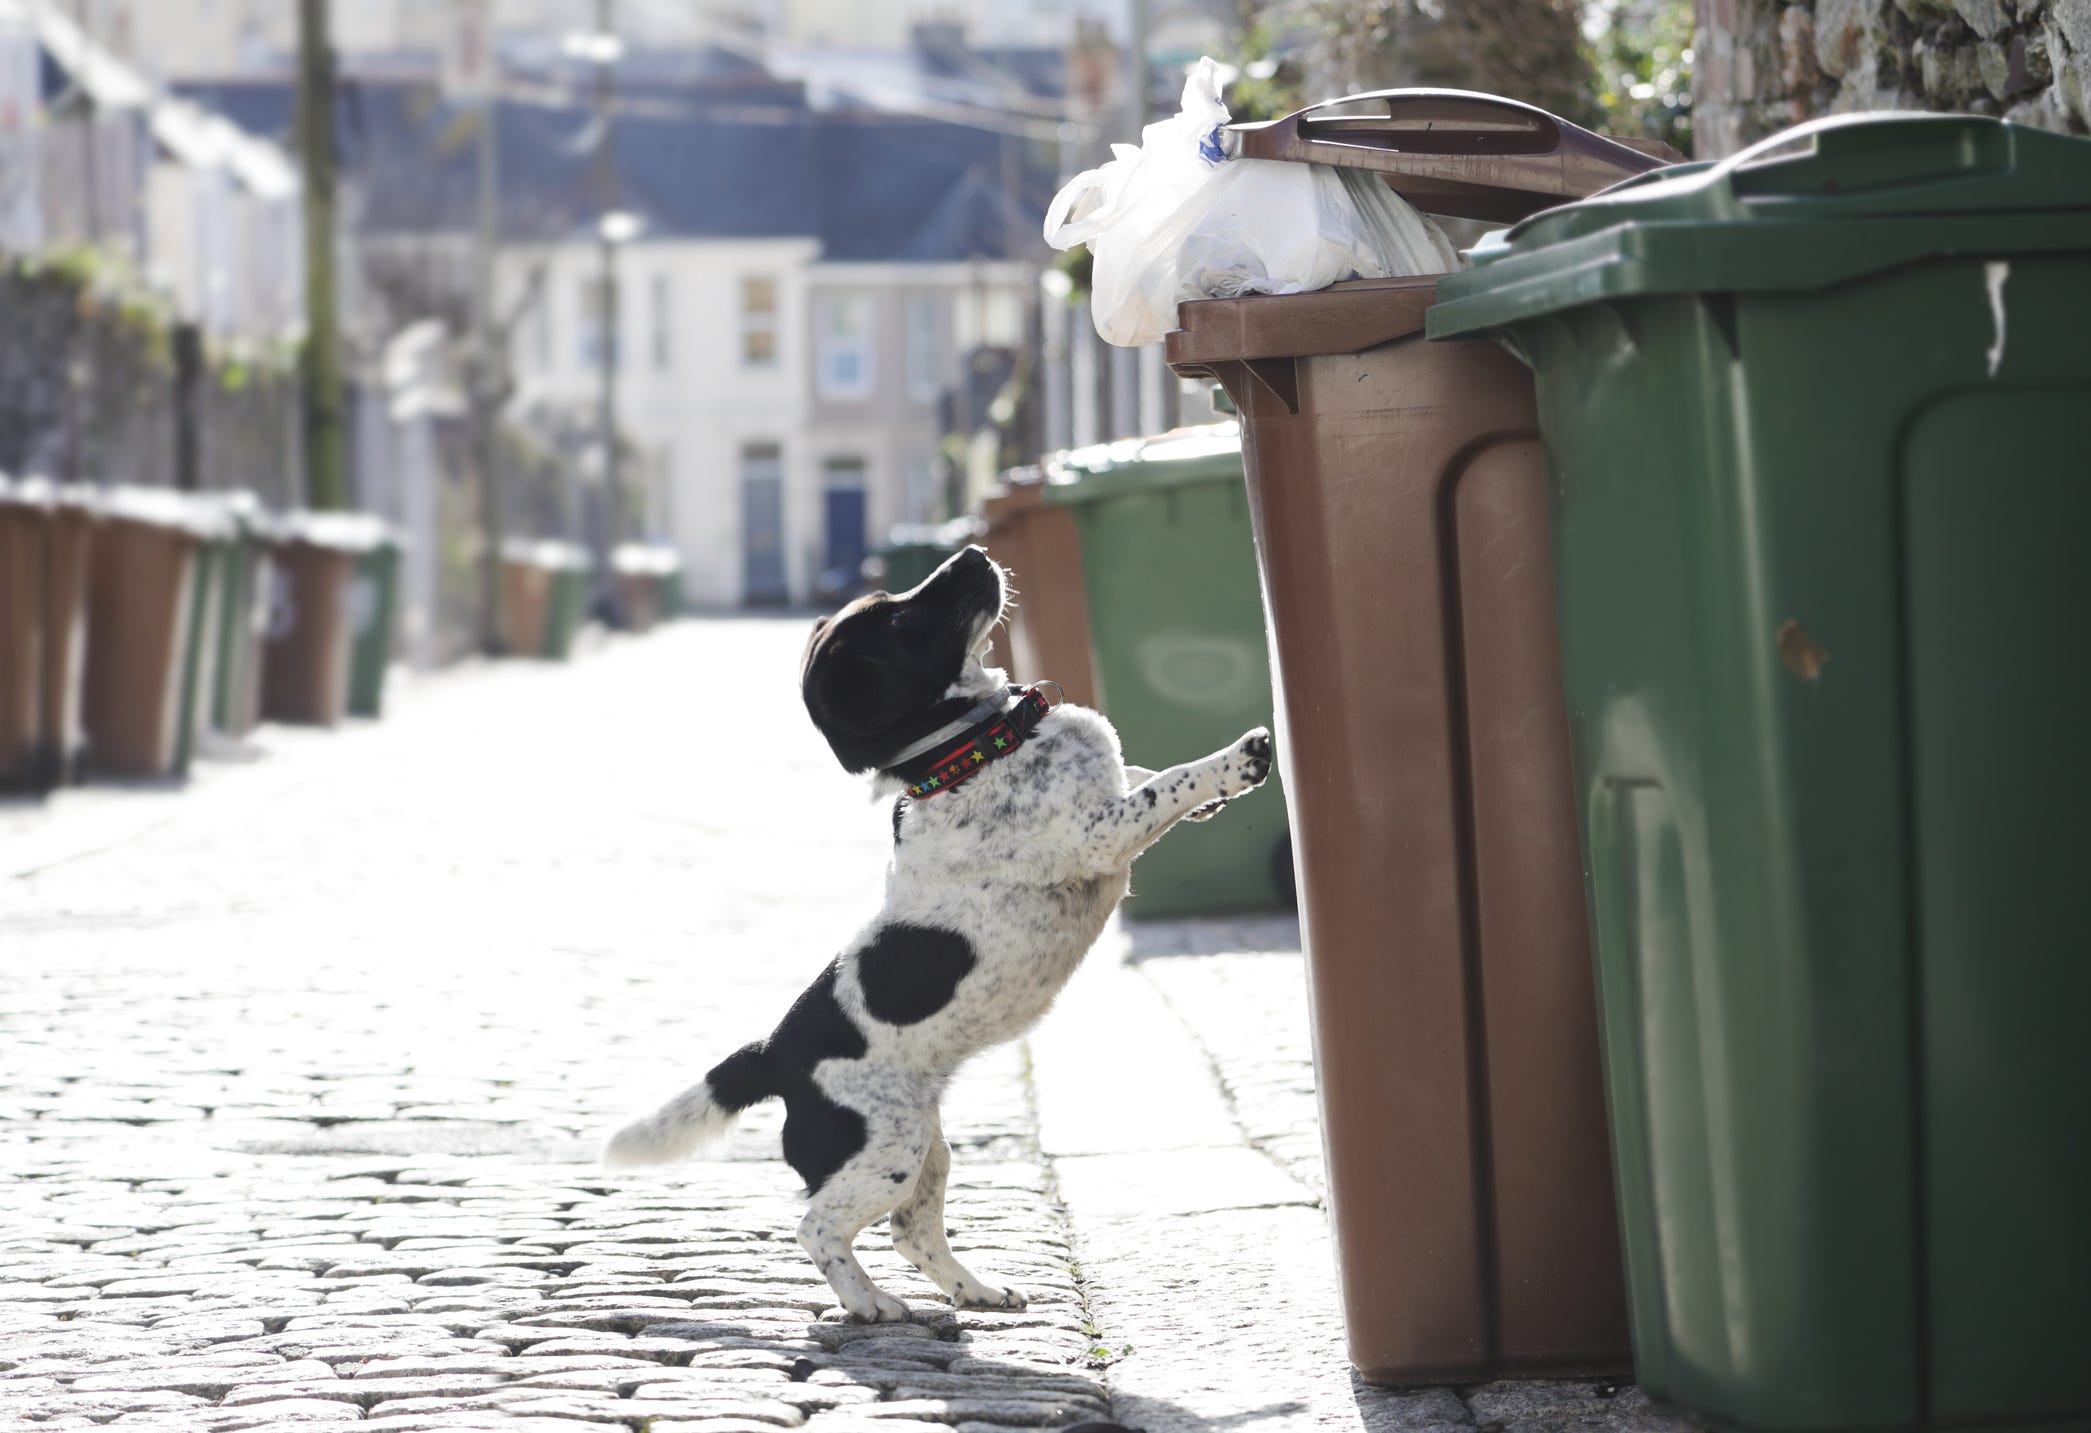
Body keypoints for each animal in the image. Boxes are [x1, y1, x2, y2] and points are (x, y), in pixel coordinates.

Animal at [598, 543, 1262, 1322]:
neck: (971, 751)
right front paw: (1236, 762)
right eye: (902, 617)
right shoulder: (1099, 834)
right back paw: (871, 1302)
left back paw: (978, 1289)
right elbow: (1169, 782)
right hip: (888, 1151)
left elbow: (1139, 771)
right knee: (816, 1226)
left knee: (911, 1233)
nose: (971, 550)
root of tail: (775, 1053)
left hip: (927, 1147)